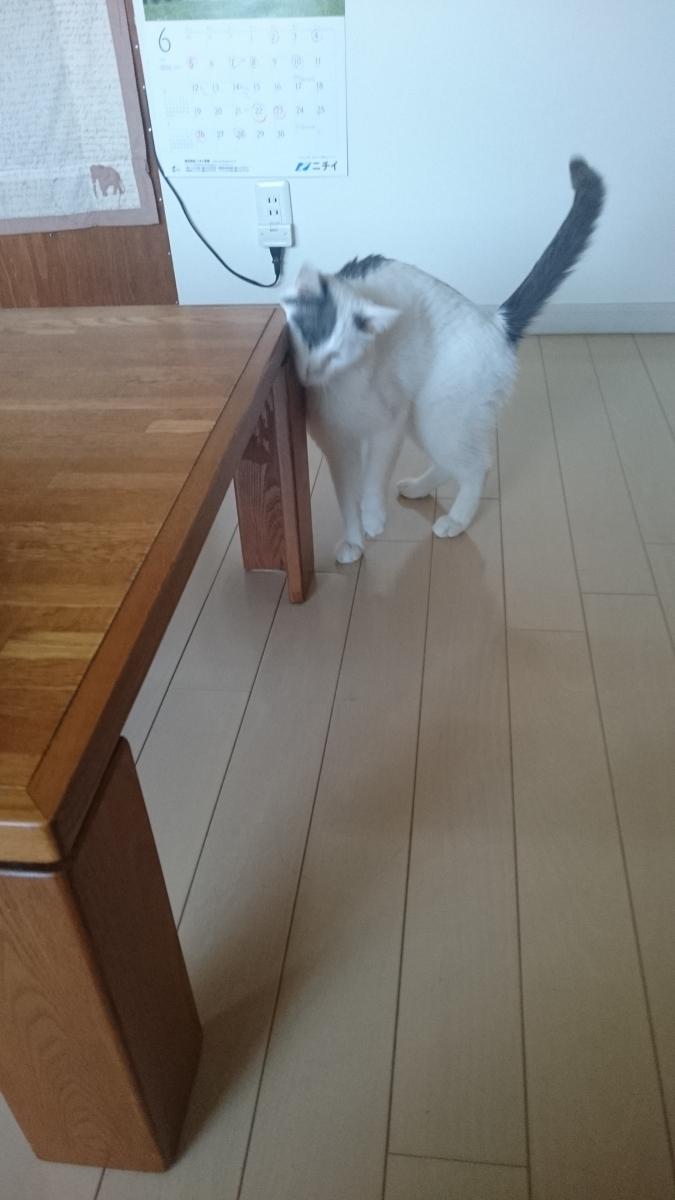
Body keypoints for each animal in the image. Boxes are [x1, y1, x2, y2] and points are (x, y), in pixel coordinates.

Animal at [282, 158, 605, 564]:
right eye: (309, 339)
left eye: (340, 352)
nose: (313, 370)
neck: (343, 388)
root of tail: (494, 323)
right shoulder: (338, 446)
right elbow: (345, 496)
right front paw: (354, 541)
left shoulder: (389, 425)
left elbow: (373, 477)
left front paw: (374, 519)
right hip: (425, 419)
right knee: (452, 462)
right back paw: (419, 489)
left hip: (436, 414)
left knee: (477, 466)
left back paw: (457, 521)